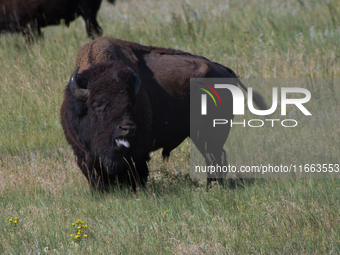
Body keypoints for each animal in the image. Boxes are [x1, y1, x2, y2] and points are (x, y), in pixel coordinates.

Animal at [60, 36, 268, 190]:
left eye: (131, 103)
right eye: (98, 105)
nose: (127, 128)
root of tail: (225, 70)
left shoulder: (138, 152)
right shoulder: (83, 153)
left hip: (211, 134)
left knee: (216, 157)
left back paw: (213, 186)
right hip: (200, 135)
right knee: (213, 157)